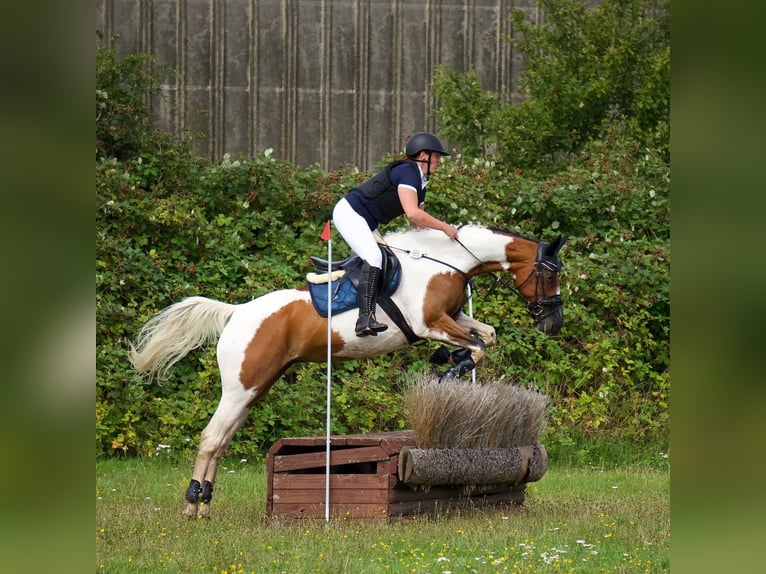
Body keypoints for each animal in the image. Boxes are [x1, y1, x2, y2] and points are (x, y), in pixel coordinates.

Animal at [129, 223, 568, 520]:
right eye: (550, 274)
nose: (553, 324)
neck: (448, 263)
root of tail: (236, 312)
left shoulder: (452, 318)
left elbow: (486, 336)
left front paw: (447, 360)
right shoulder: (429, 323)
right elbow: (477, 347)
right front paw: (447, 368)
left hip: (254, 388)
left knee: (221, 440)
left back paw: (204, 503)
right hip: (241, 388)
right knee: (210, 438)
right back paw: (192, 507)